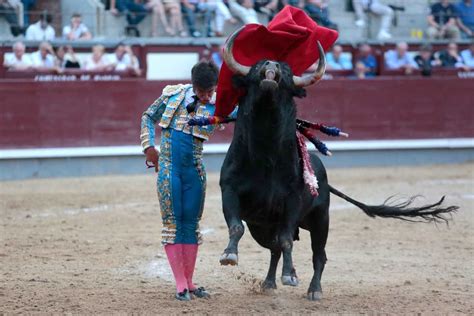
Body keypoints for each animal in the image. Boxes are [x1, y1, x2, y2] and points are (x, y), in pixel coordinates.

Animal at [217, 27, 458, 302]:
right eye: (258, 65)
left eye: (287, 71)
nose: (272, 65)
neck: (265, 152)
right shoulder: (230, 191)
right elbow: (237, 227)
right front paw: (229, 255)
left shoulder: (292, 201)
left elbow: (287, 239)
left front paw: (290, 276)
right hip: (262, 227)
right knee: (274, 248)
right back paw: (269, 283)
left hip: (321, 220)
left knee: (316, 255)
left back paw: (314, 290)